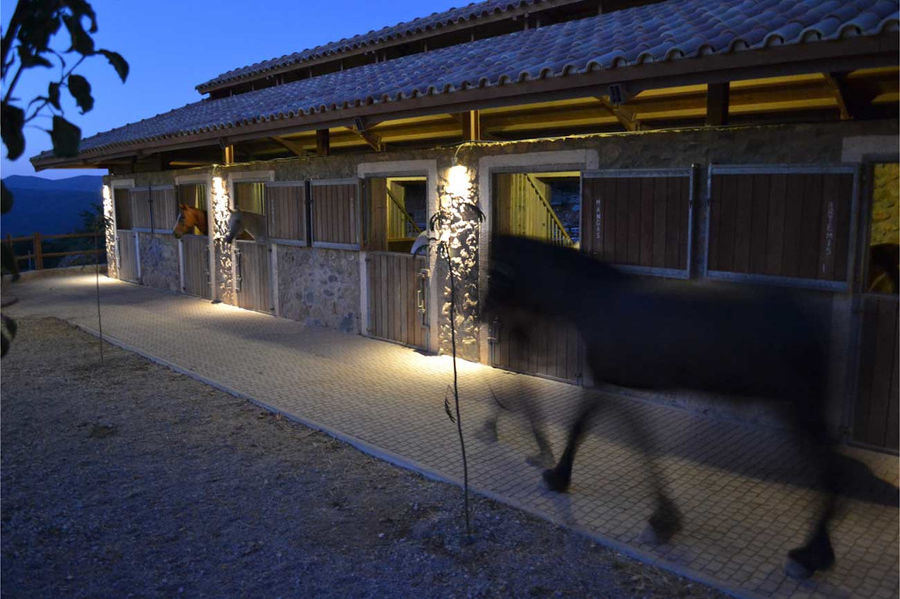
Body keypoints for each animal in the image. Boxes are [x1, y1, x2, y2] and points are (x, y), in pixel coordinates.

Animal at [486, 236, 836, 580]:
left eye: (493, 277)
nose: (491, 321)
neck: (593, 301)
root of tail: (806, 319)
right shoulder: (614, 386)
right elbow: (627, 437)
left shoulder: (608, 384)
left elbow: (593, 429)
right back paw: (819, 551)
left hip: (799, 404)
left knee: (829, 469)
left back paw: (810, 555)